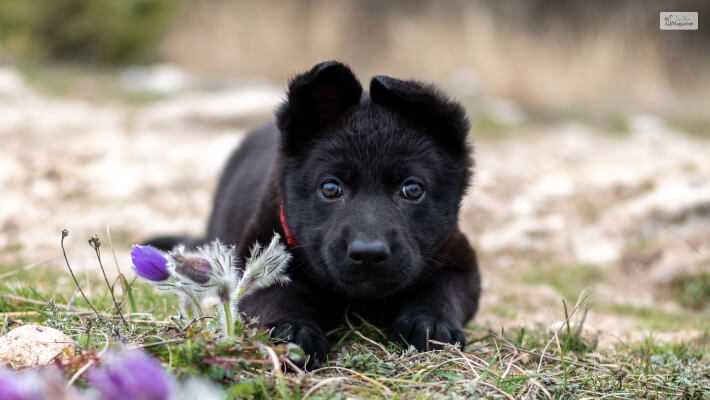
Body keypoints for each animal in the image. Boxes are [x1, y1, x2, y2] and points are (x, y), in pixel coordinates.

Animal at [150, 61, 484, 368]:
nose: (368, 254)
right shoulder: (254, 256)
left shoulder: (460, 260)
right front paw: (292, 330)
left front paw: (429, 323)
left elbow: (442, 288)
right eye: (331, 188)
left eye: (412, 190)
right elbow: (279, 292)